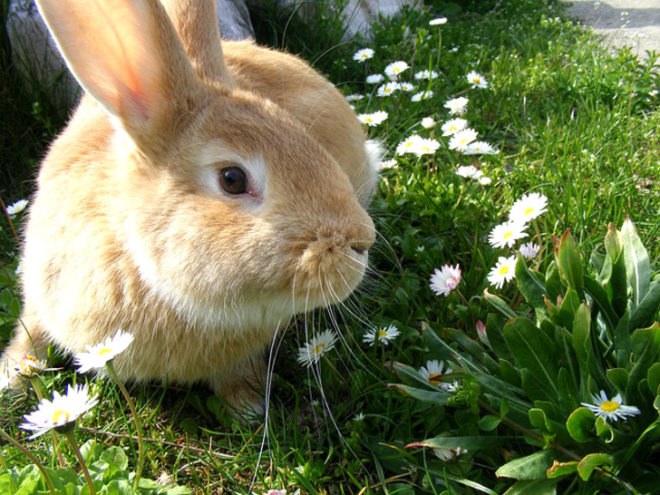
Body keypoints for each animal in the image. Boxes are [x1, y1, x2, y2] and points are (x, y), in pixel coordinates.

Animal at [0, 0, 379, 415]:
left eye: (306, 137)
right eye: (232, 179)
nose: (363, 240)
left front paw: (247, 406)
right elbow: (31, 333)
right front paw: (11, 379)